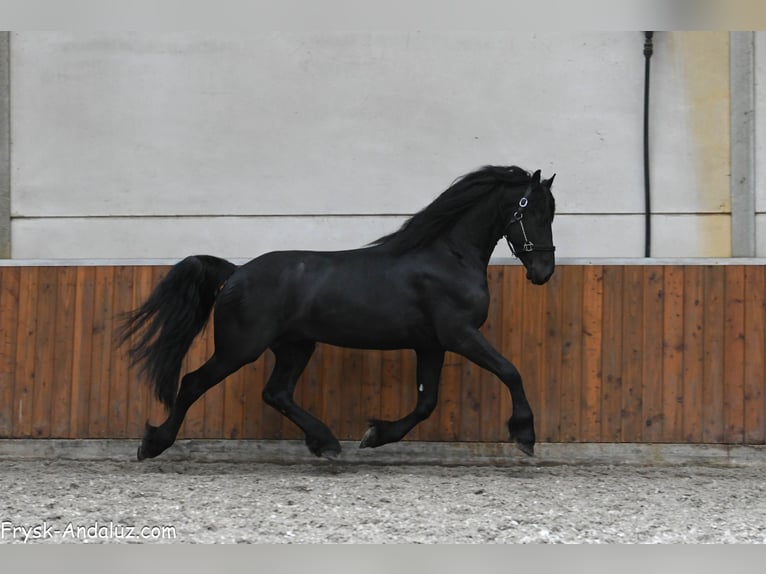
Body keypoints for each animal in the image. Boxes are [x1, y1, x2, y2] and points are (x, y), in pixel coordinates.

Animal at [118, 165, 556, 461]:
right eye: (530, 211)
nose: (543, 272)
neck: (449, 256)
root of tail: (236, 272)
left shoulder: (431, 345)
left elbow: (426, 402)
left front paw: (375, 434)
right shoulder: (459, 335)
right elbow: (510, 371)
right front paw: (525, 435)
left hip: (295, 346)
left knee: (276, 392)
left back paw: (326, 442)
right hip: (239, 349)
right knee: (193, 383)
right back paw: (152, 445)